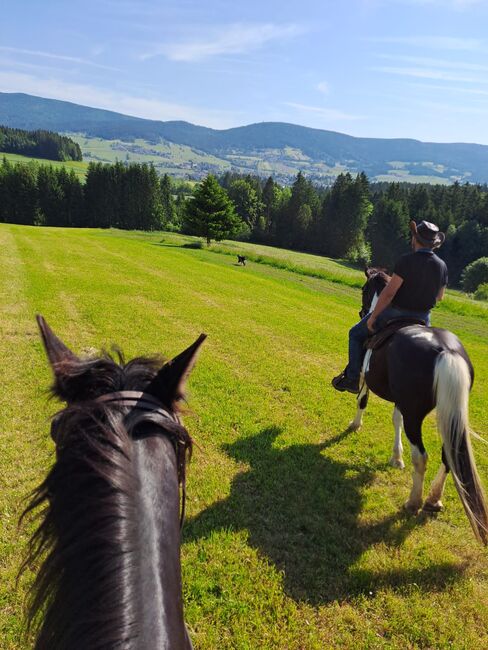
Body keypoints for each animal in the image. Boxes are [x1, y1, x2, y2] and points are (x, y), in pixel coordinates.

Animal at [348, 268, 486, 540]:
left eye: (364, 289)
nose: (363, 314)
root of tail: (447, 352)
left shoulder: (368, 380)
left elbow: (363, 400)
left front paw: (355, 425)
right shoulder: (401, 401)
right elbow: (395, 420)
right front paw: (396, 458)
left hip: (416, 415)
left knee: (421, 456)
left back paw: (413, 502)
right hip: (450, 417)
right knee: (449, 456)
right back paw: (433, 500)